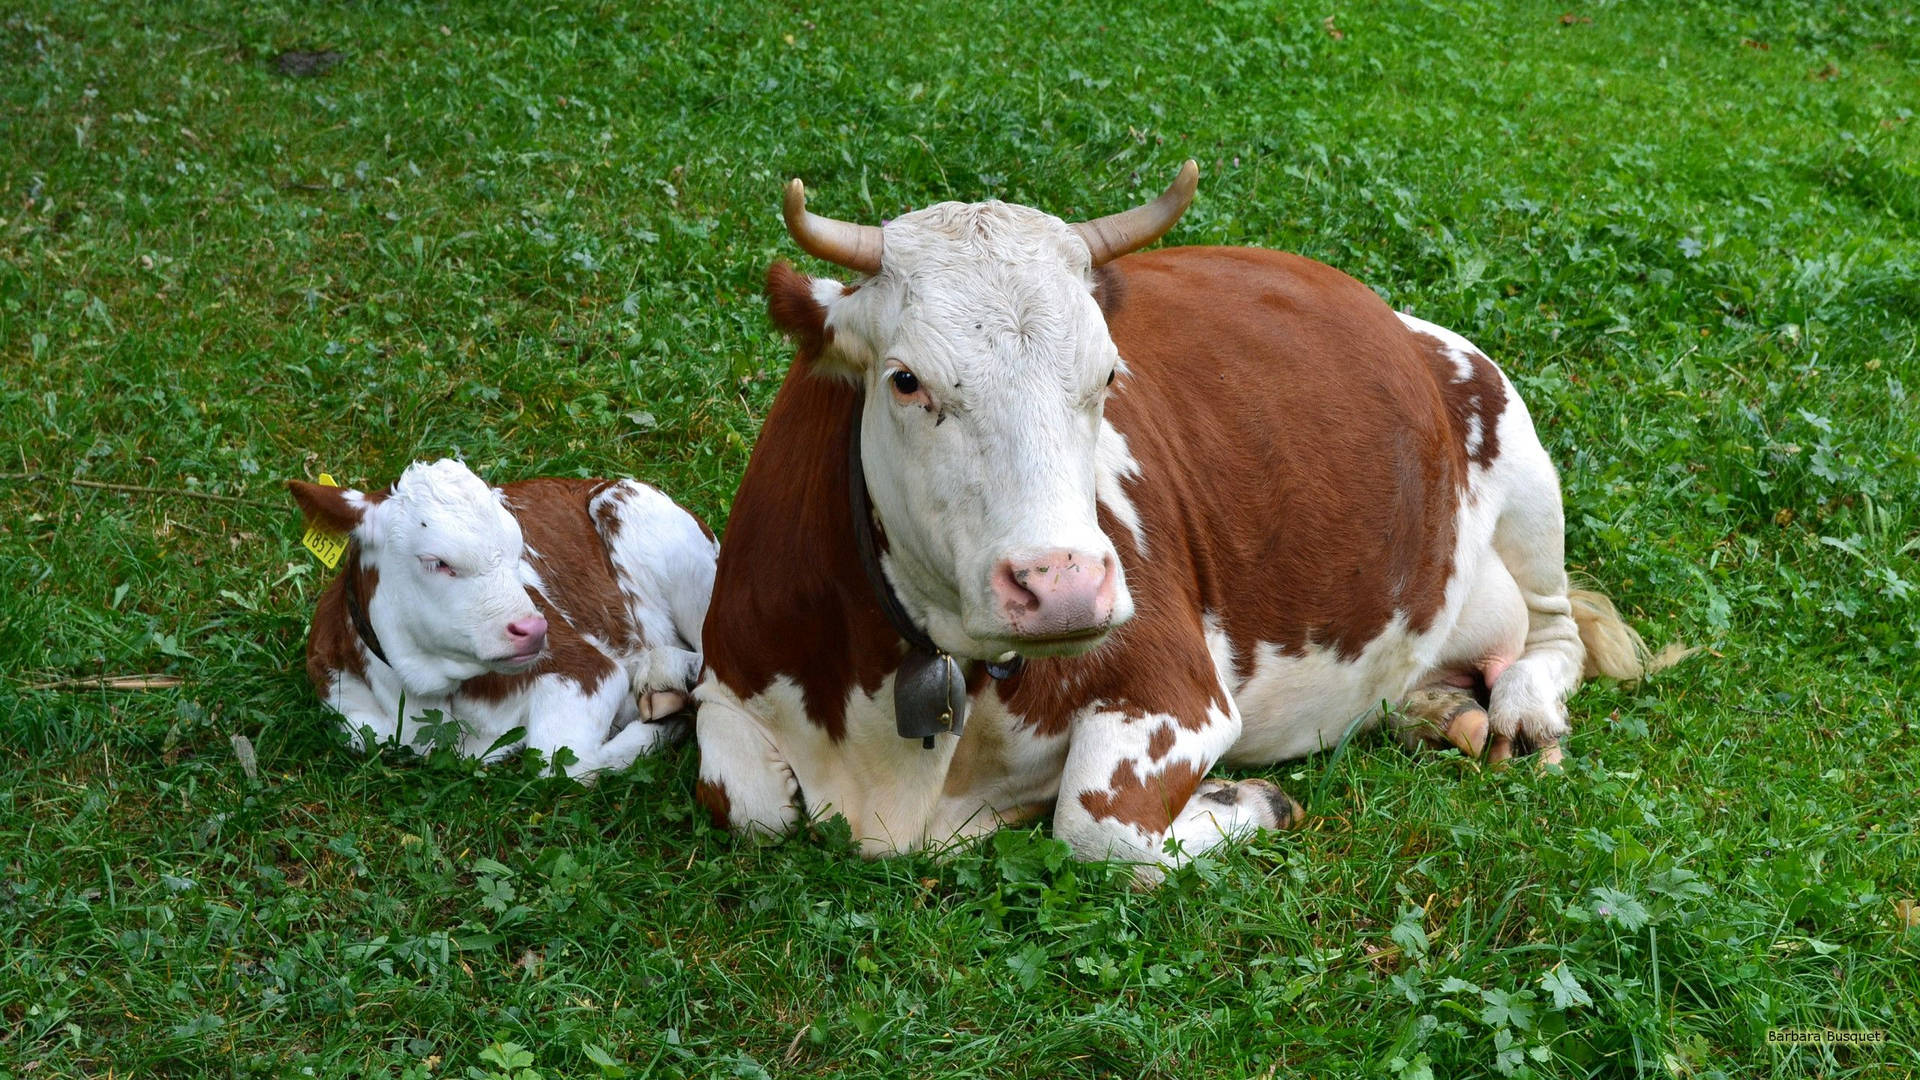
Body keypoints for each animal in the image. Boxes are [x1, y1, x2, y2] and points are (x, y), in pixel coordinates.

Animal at [291, 455, 721, 772]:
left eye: (518, 549)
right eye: (436, 562)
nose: (533, 628)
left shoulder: (587, 667)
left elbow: (558, 758)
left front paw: (665, 724)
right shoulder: (347, 713)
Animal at [695, 166, 1681, 876]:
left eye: (1107, 375)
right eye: (905, 380)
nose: (1064, 586)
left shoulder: (1178, 690)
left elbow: (1098, 828)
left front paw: (1246, 802)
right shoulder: (728, 675)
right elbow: (746, 802)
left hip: (1521, 461)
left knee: (1556, 635)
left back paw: (1517, 711)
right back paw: (1435, 709)